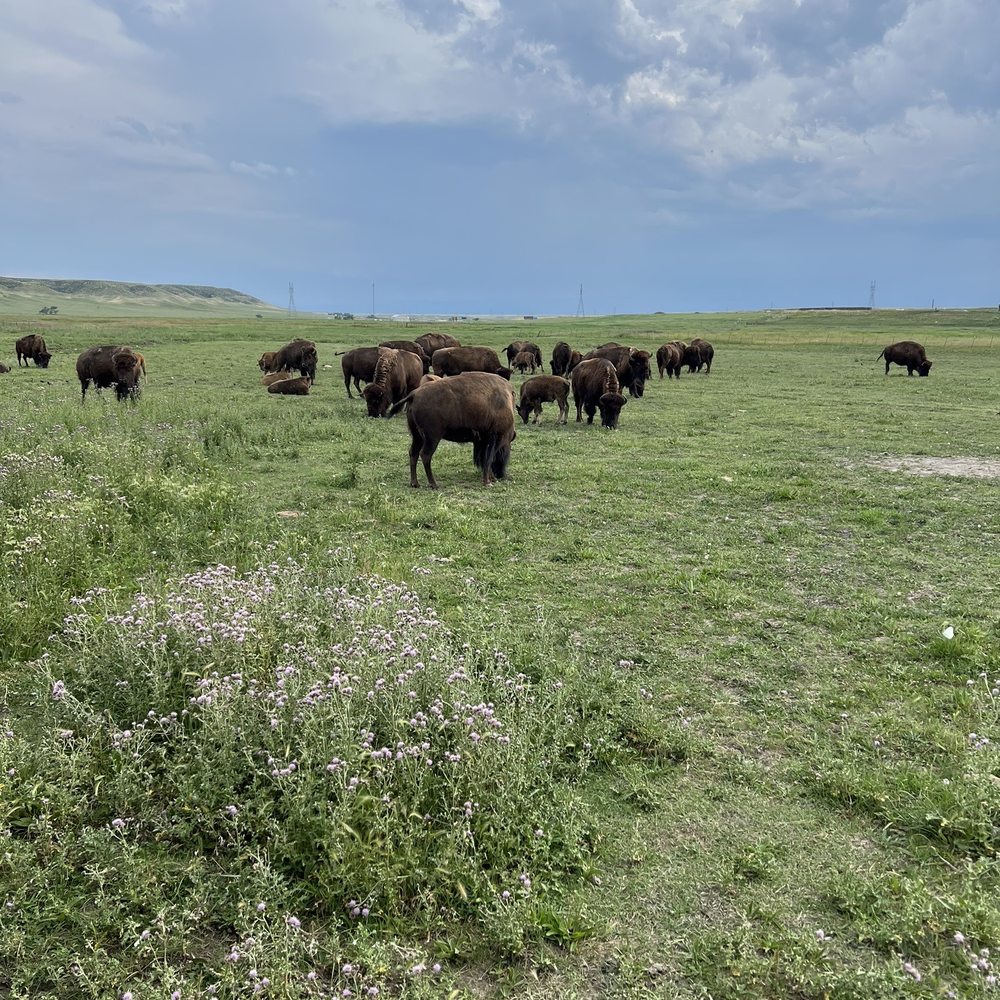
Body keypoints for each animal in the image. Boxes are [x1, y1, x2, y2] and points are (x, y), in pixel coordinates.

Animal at [386, 372, 516, 489]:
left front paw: (490, 479)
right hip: (432, 438)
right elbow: (488, 459)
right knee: (425, 455)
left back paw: (415, 483)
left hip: (417, 436)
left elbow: (486, 460)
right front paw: (488, 482)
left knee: (413, 453)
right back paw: (433, 484)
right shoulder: (493, 439)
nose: (501, 475)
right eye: (507, 450)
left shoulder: (484, 440)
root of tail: (414, 393)